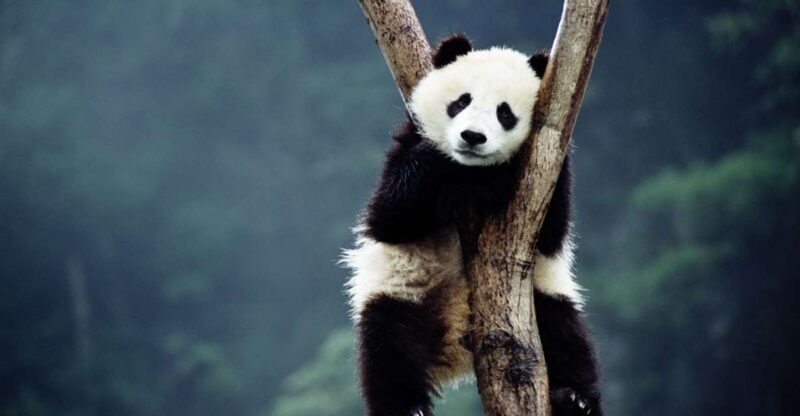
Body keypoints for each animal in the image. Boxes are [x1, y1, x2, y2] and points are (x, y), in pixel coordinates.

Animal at [342, 34, 602, 416]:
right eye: (461, 101)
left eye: (504, 112)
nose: (472, 137)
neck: (470, 170)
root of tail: (455, 344)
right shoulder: (408, 143)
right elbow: (390, 216)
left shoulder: (549, 167)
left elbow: (551, 234)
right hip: (401, 290)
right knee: (388, 345)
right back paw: (408, 407)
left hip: (542, 298)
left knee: (566, 335)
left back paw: (575, 399)